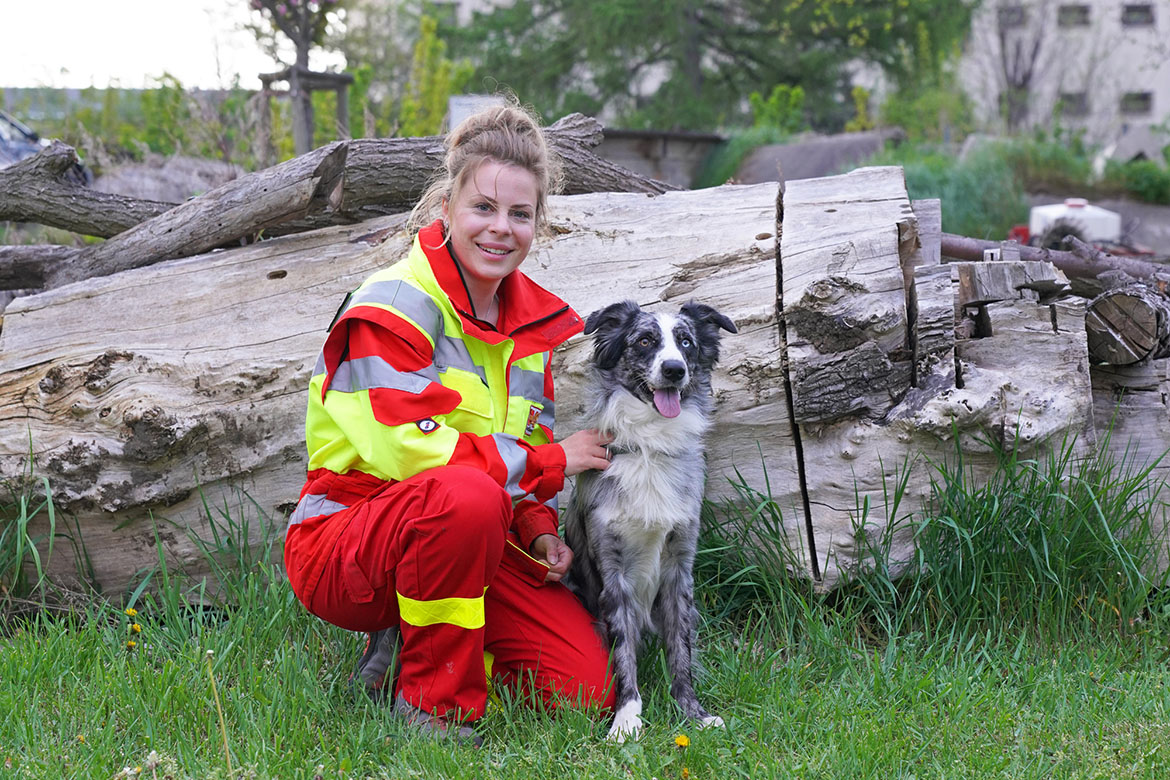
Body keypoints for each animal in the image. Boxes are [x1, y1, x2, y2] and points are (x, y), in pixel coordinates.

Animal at [561, 301, 734, 743]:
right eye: (644, 341)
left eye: (686, 342)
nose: (674, 369)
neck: (650, 445)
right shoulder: (614, 574)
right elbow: (623, 655)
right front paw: (627, 720)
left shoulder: (678, 568)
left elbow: (681, 651)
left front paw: (693, 712)